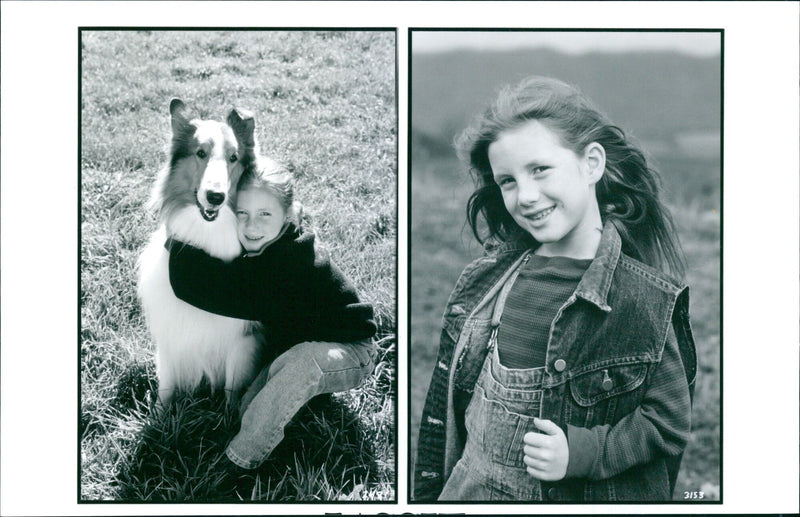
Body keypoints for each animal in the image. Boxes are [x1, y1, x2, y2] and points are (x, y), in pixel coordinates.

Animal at [138, 99, 262, 406]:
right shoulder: (172, 331)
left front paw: (230, 417)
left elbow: (232, 390)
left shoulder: (241, 339)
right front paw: (161, 414)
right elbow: (167, 386)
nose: (215, 197)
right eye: (200, 153)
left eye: (233, 157)